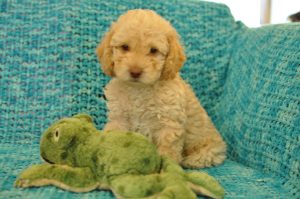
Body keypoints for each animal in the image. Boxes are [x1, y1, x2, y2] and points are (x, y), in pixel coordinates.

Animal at [97, 8, 226, 168]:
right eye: (125, 47)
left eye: (153, 50)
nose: (135, 72)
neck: (139, 89)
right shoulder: (119, 118)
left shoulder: (169, 125)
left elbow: (167, 152)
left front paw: (167, 168)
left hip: (210, 150)